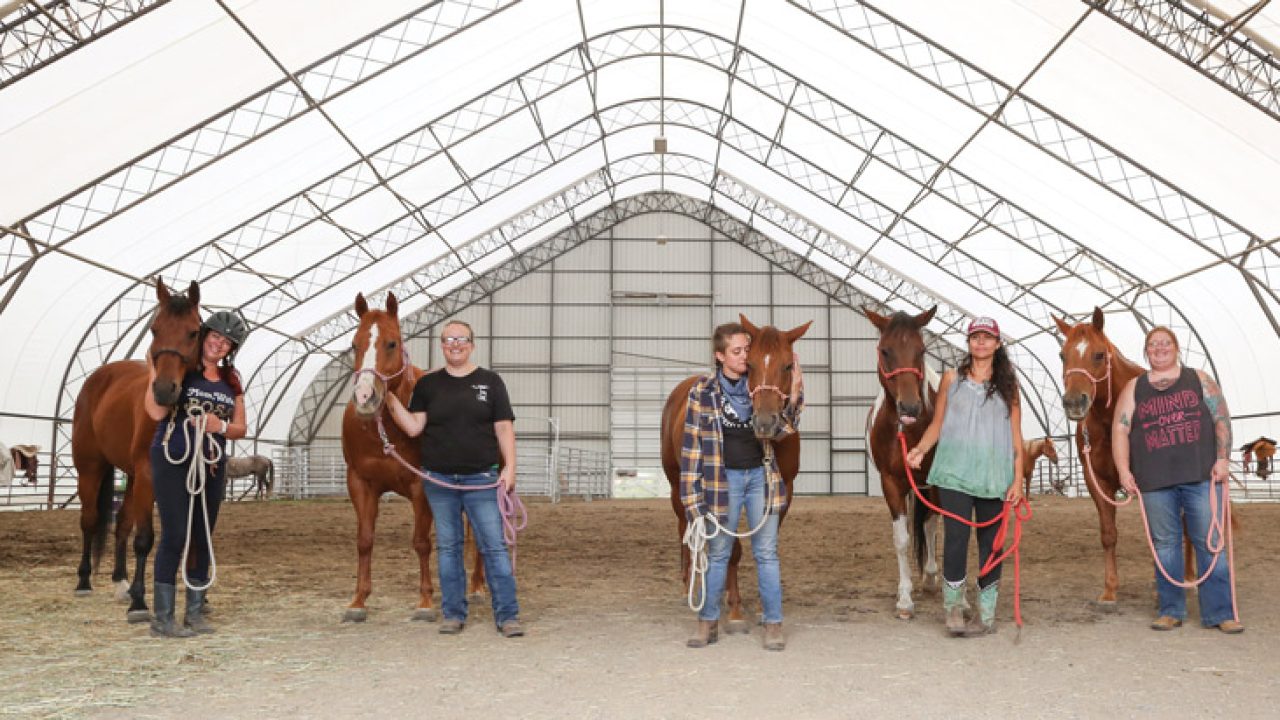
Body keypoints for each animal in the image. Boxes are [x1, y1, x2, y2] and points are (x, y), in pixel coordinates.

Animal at [71, 278, 202, 620]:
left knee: (121, 525)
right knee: (90, 520)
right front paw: (141, 603)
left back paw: (121, 583)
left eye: (193, 331)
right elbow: (144, 539)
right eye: (154, 330)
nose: (163, 390)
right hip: (91, 469)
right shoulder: (148, 473)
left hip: (130, 477)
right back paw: (84, 581)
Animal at [337, 292, 481, 622]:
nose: (365, 398)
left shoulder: (420, 486)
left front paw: (425, 602)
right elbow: (365, 541)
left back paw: (478, 588)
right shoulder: (360, 484)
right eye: (354, 344)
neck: (385, 431)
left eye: (391, 343)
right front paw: (358, 601)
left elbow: (421, 542)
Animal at [660, 311, 808, 630]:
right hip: (679, 484)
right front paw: (736, 607)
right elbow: (732, 549)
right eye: (748, 363)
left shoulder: (783, 491)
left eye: (788, 365)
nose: (764, 423)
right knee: (686, 527)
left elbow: (764, 543)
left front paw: (764, 606)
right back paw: (691, 584)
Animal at [860, 304, 942, 614]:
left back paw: (930, 577)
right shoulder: (891, 483)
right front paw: (904, 597)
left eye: (921, 350)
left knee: (930, 524)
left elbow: (932, 525)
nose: (909, 407)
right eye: (885, 350)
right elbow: (902, 538)